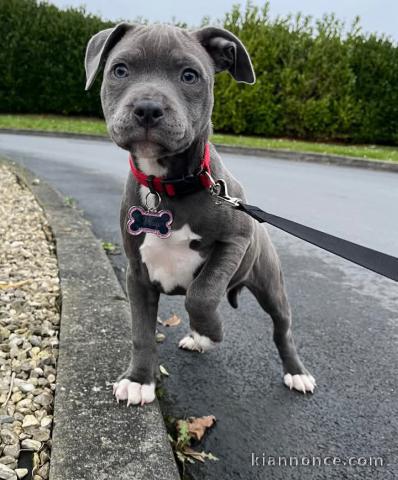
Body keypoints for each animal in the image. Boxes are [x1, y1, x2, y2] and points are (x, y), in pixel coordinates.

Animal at [85, 22, 316, 404]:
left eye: (189, 75)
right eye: (120, 70)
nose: (147, 108)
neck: (167, 186)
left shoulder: (235, 240)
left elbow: (202, 294)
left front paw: (210, 333)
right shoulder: (137, 273)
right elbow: (141, 330)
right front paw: (139, 379)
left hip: (271, 284)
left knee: (282, 329)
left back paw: (295, 372)